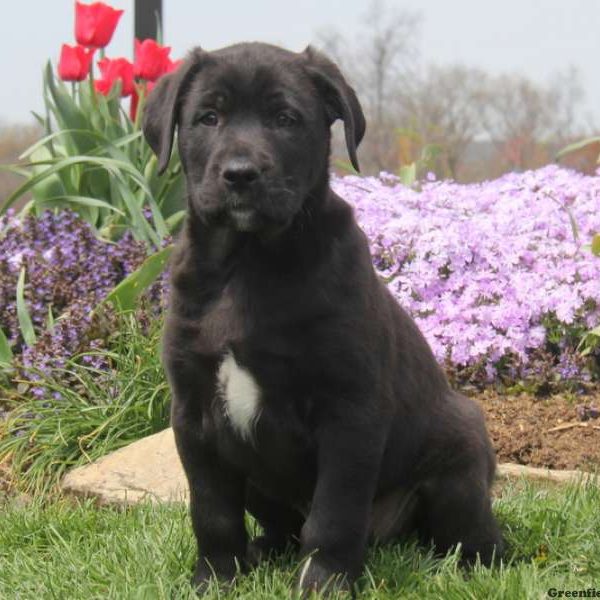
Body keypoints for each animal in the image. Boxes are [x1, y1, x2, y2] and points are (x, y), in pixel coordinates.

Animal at [143, 42, 504, 596]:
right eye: (209, 117)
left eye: (285, 119)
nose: (241, 173)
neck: (248, 262)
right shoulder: (193, 412)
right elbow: (211, 510)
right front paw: (215, 579)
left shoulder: (349, 411)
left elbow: (333, 514)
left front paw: (324, 584)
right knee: (280, 527)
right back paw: (260, 552)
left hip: (459, 453)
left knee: (473, 533)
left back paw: (479, 564)